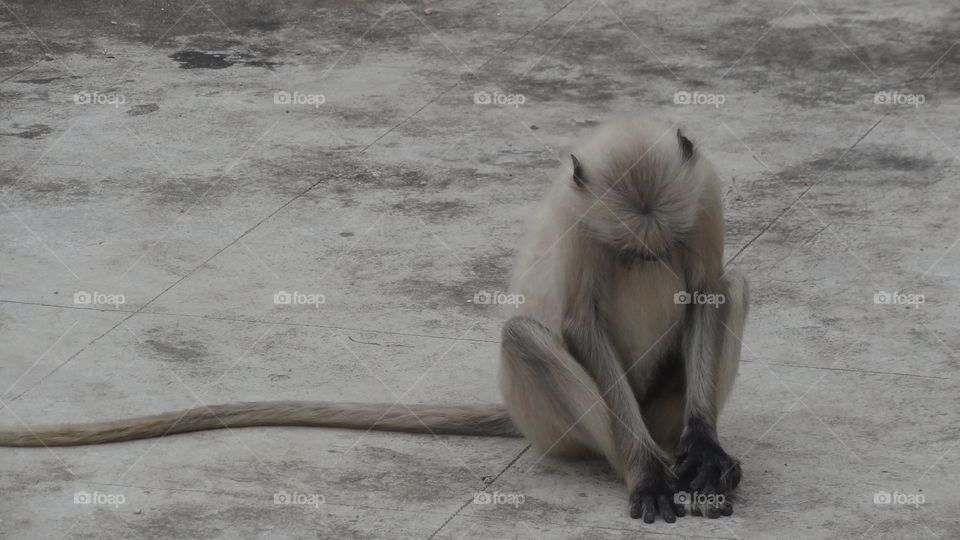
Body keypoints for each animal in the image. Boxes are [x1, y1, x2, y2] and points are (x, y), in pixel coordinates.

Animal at [0, 115, 747, 524]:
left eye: (656, 237)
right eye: (633, 245)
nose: (647, 253)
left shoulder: (701, 191)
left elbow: (709, 289)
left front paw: (706, 450)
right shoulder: (582, 219)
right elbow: (579, 325)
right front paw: (648, 477)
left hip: (658, 409)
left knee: (730, 284)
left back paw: (690, 459)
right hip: (561, 425)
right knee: (526, 335)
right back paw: (641, 467)